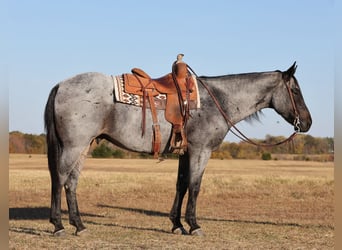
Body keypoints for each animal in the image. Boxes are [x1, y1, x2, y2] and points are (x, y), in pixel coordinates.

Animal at [43, 61, 312, 236]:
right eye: (295, 90)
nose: (307, 123)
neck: (217, 100)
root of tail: (61, 85)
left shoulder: (186, 152)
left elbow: (181, 185)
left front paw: (177, 224)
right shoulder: (201, 151)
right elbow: (195, 186)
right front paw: (194, 225)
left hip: (83, 146)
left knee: (71, 182)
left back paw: (79, 226)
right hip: (74, 145)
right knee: (60, 178)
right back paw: (58, 225)